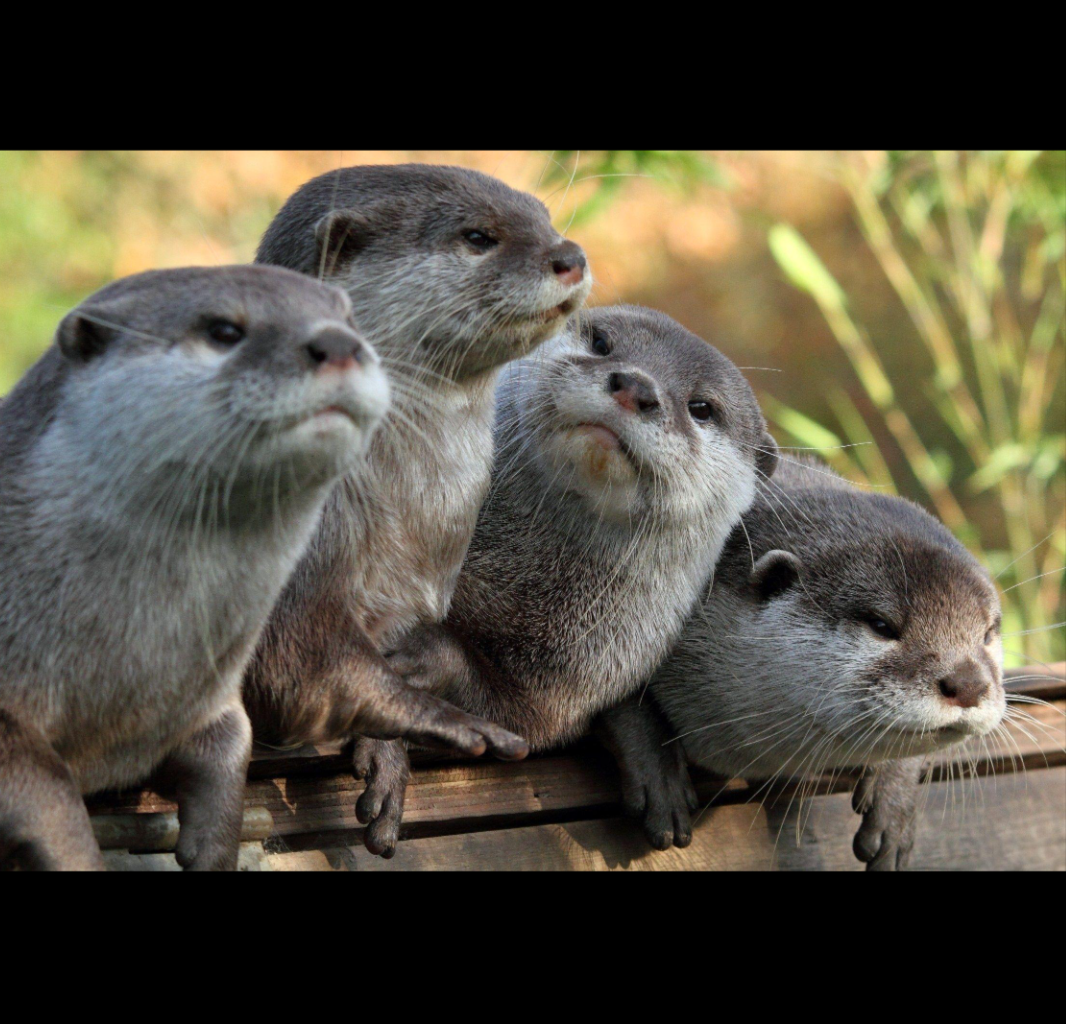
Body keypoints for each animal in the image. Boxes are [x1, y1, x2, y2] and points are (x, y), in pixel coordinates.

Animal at [0, 266, 389, 870]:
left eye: (349, 319)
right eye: (224, 330)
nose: (341, 343)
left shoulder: (211, 695)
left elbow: (231, 744)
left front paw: (214, 846)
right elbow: (47, 794)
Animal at [243, 165, 592, 789]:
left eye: (546, 218)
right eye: (477, 237)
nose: (570, 254)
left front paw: (385, 755)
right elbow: (295, 661)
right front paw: (447, 720)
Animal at [357, 305, 779, 855]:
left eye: (703, 407)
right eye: (601, 342)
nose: (635, 386)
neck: (516, 579)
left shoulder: (568, 678)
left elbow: (516, 721)